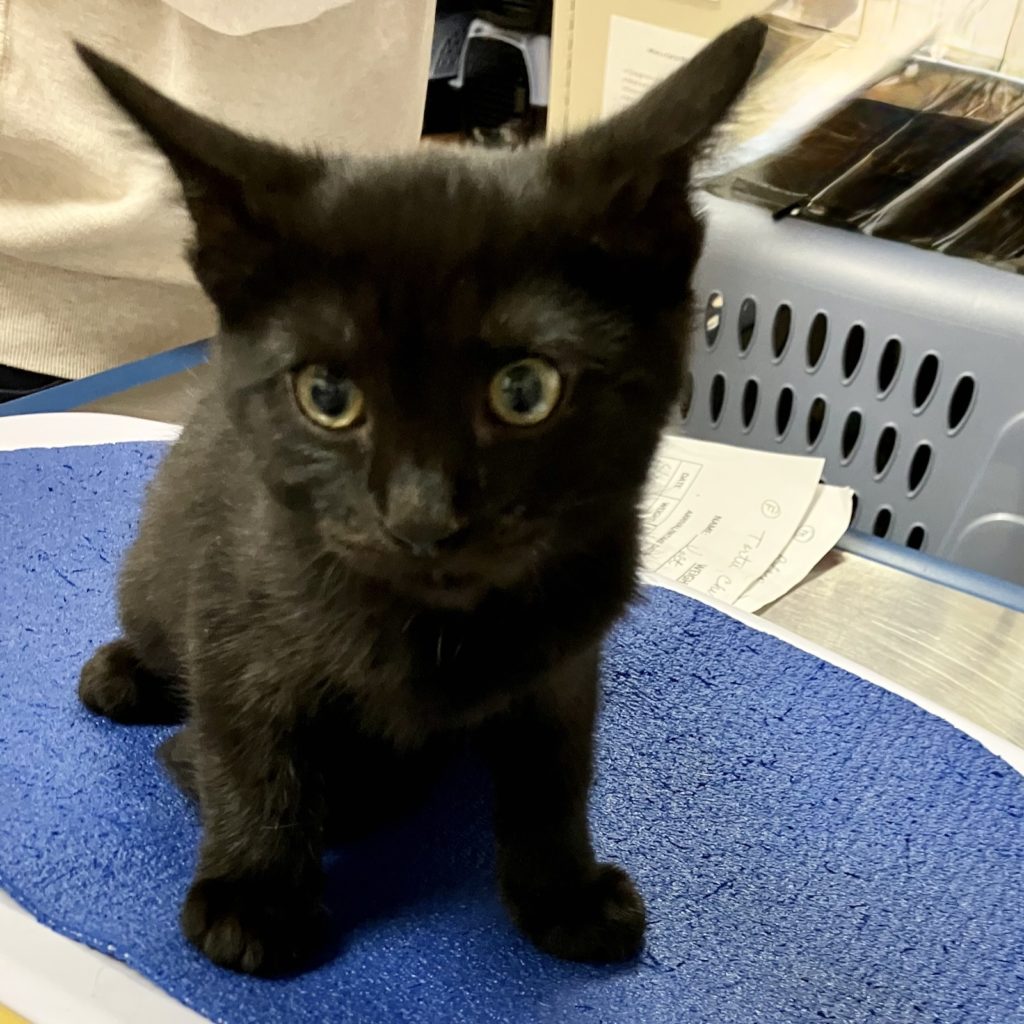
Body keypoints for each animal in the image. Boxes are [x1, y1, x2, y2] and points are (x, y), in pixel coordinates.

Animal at [76, 19, 766, 976]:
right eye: (328, 396)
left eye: (526, 390)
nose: (422, 517)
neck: (437, 632)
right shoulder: (236, 607)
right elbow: (248, 749)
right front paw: (254, 894)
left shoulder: (566, 662)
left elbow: (556, 772)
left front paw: (563, 893)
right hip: (155, 571)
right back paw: (126, 677)